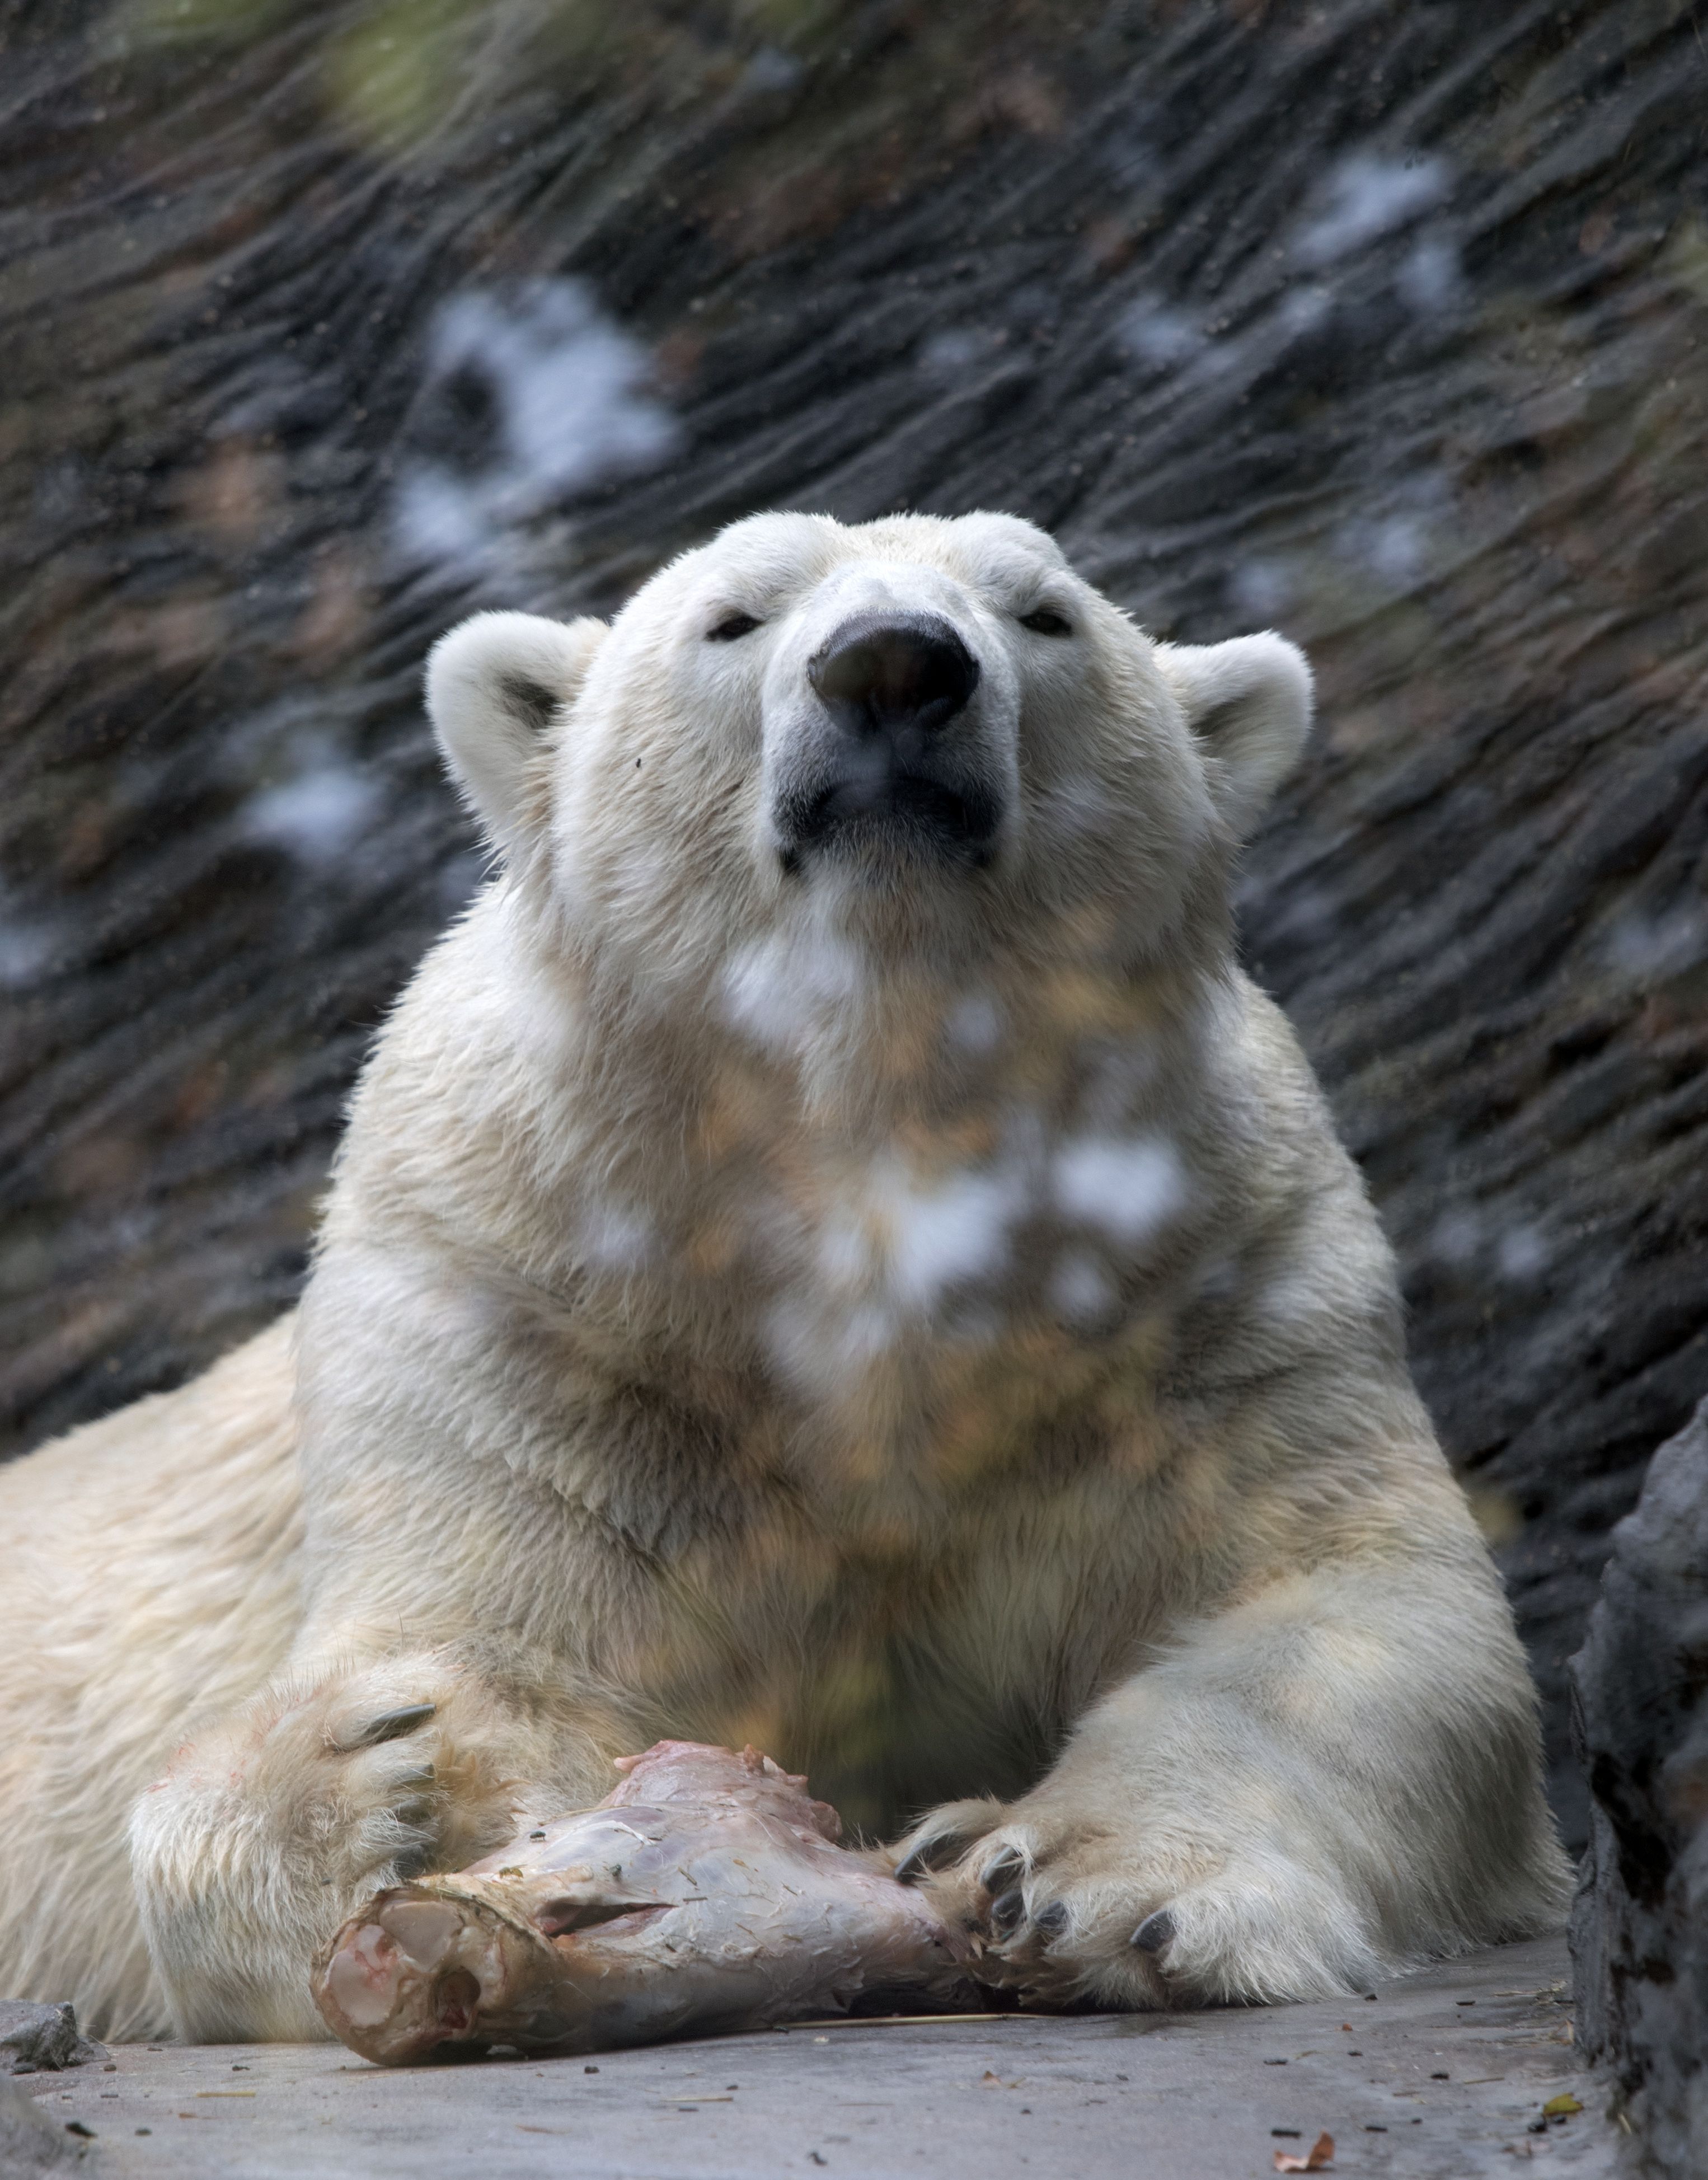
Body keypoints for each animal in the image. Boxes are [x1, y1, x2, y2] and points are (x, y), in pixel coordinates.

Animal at [0, 510, 1571, 2044]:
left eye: (1043, 609)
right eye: (733, 615)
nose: (893, 665)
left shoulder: (1205, 1289)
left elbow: (1350, 1608)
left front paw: (1063, 1873)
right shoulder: (529, 1310)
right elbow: (484, 1641)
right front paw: (386, 1792)